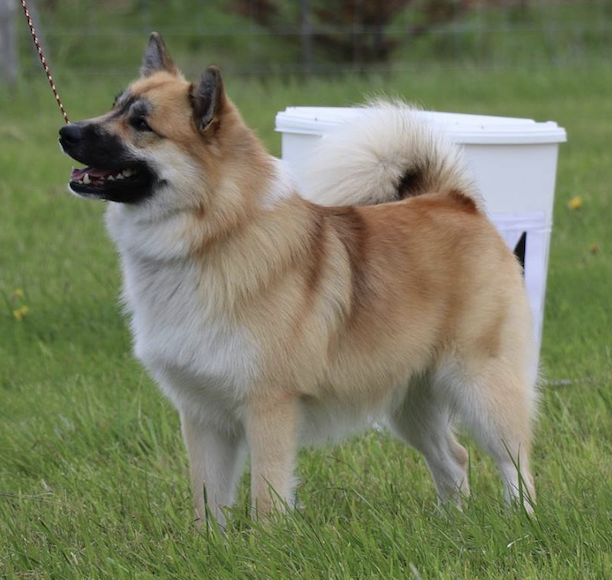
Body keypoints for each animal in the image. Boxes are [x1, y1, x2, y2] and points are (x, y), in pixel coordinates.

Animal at [57, 31, 536, 524]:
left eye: (141, 124)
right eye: (114, 106)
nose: (66, 132)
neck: (216, 236)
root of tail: (455, 201)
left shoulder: (269, 408)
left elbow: (266, 496)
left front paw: (266, 541)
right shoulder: (203, 415)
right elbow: (207, 498)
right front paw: (209, 540)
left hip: (481, 385)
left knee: (514, 460)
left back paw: (522, 519)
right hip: (410, 400)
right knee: (454, 459)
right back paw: (451, 523)